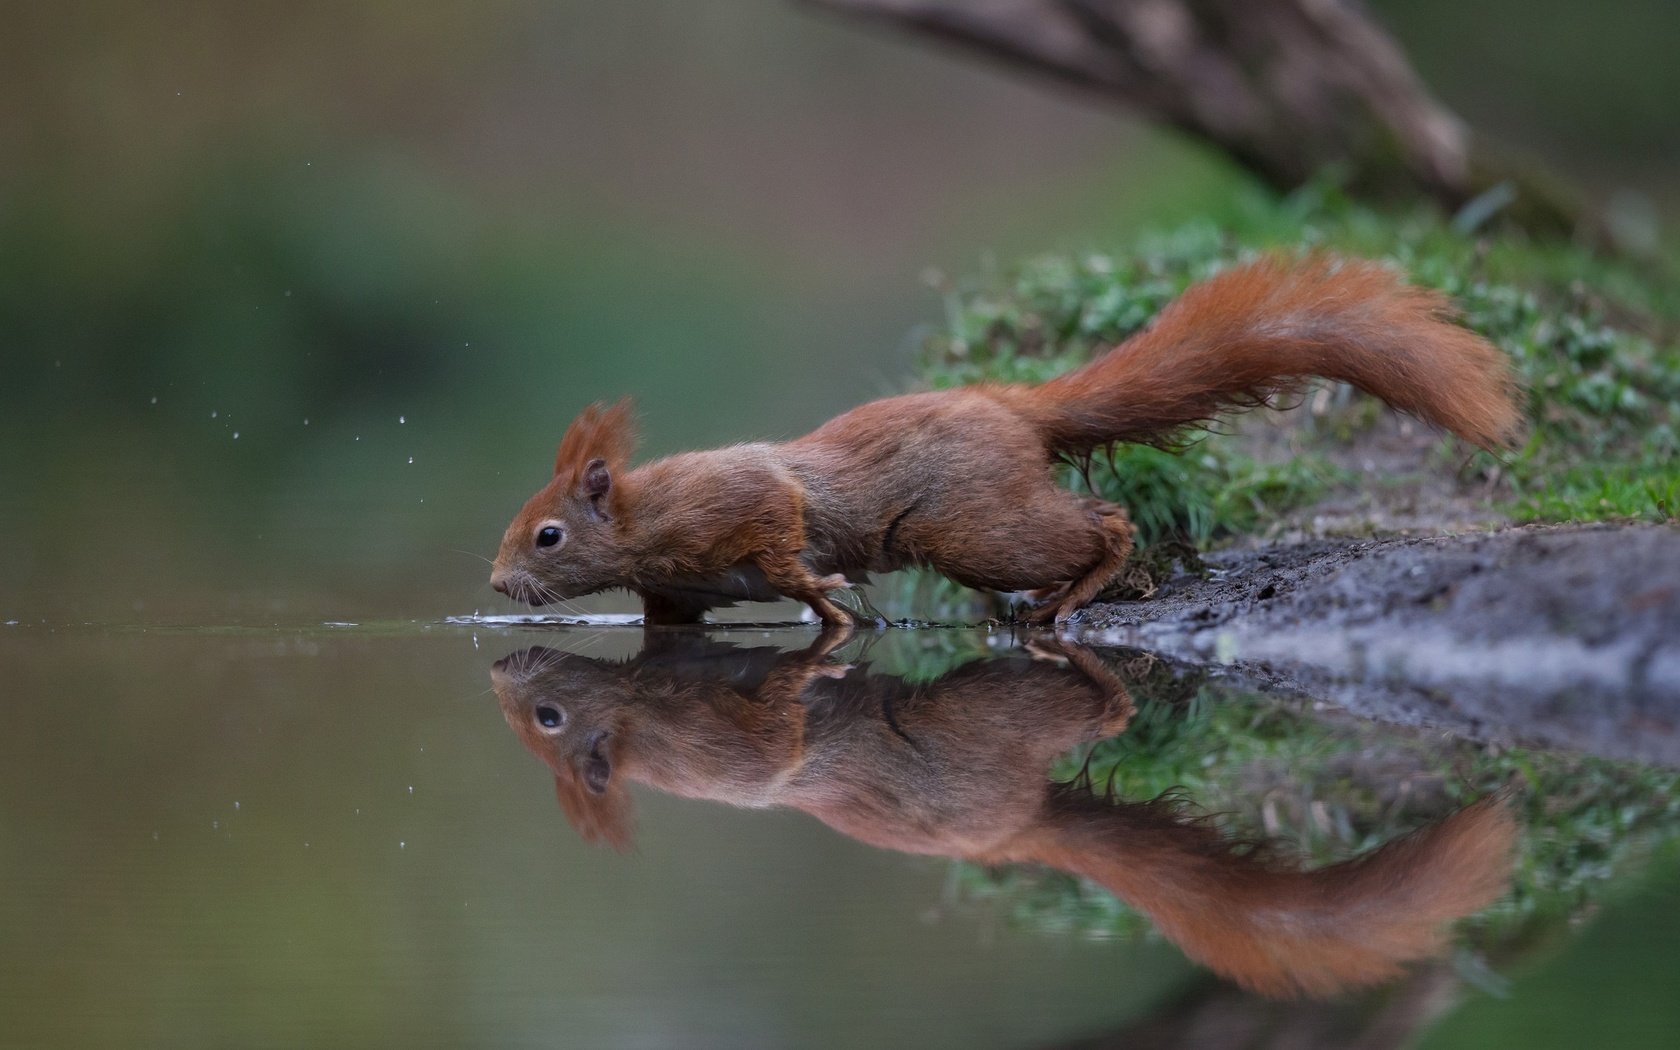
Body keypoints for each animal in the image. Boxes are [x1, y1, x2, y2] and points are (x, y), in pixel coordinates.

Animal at [490, 255, 1525, 621]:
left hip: (971, 527)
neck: (645, 520)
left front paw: (825, 596)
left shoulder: (737, 504)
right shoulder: (677, 591)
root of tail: (1012, 407)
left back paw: (1078, 594)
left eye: (548, 535)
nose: (497, 587)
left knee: (1104, 522)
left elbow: (782, 536)